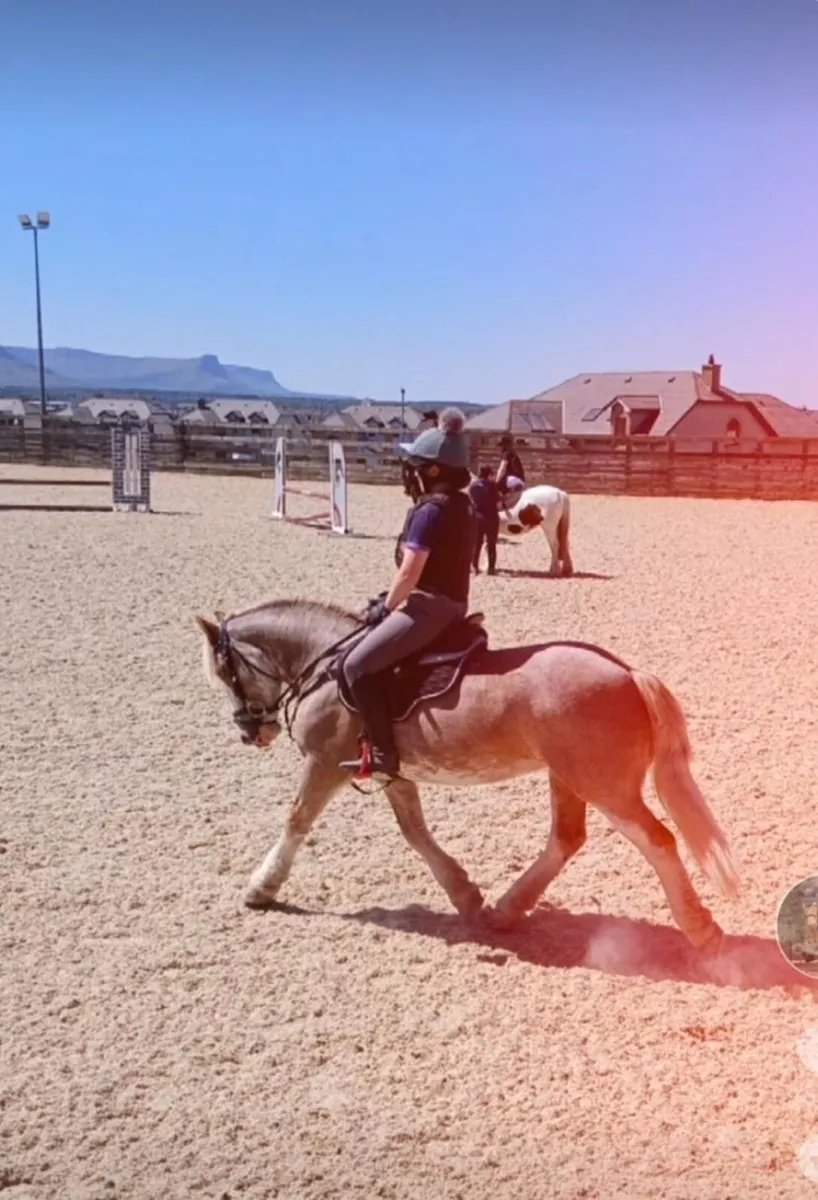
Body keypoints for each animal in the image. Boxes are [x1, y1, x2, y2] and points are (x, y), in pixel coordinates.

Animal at [195, 597, 740, 950]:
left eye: (225, 672)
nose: (250, 732)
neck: (327, 666)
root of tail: (627, 673)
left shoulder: (324, 763)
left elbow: (296, 820)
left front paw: (261, 888)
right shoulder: (395, 773)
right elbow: (415, 832)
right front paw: (465, 894)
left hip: (606, 787)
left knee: (658, 841)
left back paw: (699, 929)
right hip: (568, 777)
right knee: (566, 839)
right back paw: (505, 911)